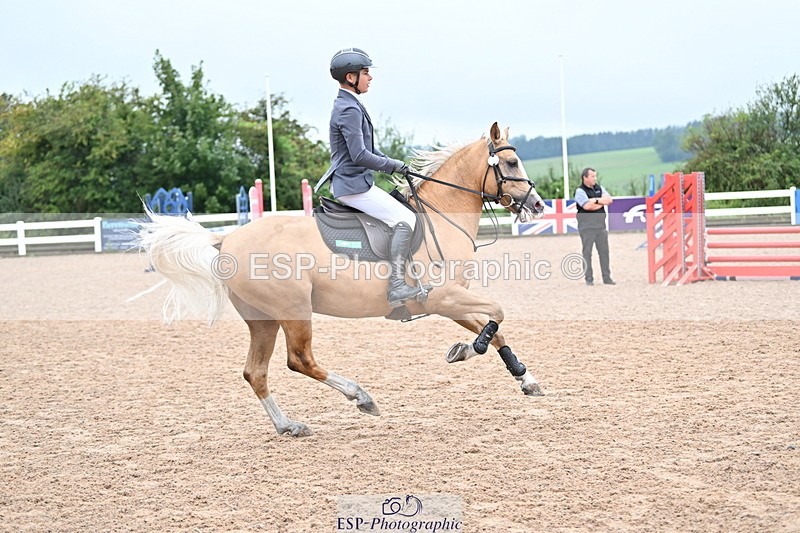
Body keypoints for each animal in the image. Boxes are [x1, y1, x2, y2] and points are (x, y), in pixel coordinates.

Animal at [140, 122, 546, 437]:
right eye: (511, 162)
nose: (538, 204)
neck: (441, 216)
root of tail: (225, 240)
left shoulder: (451, 300)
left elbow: (497, 328)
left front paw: (524, 379)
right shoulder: (441, 297)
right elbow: (498, 313)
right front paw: (467, 349)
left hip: (263, 319)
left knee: (255, 372)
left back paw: (288, 426)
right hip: (294, 309)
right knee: (300, 360)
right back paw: (360, 397)